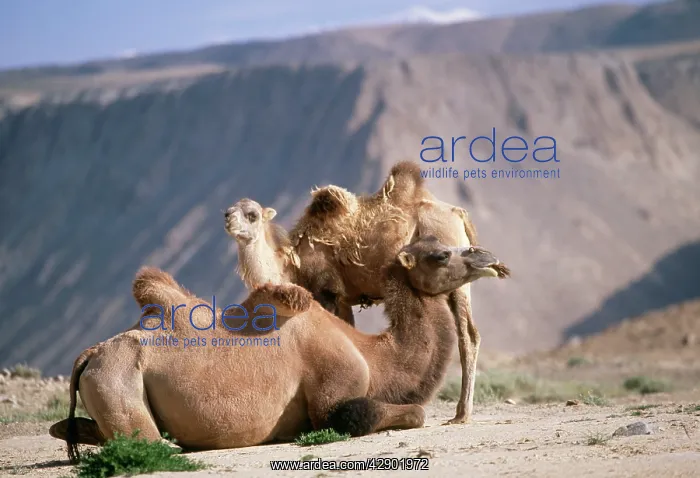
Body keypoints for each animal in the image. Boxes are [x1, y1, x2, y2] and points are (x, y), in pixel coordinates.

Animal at [50, 236, 509, 464]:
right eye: (441, 254)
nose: (489, 258)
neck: (374, 356)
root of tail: (88, 356)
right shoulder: (333, 397)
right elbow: (407, 413)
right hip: (118, 378)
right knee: (151, 444)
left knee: (65, 428)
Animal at [224, 160, 492, 424]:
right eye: (231, 209)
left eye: (252, 215)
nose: (227, 218)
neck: (293, 265)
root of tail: (459, 215)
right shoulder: (343, 299)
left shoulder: (327, 289)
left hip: (458, 281)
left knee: (468, 336)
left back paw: (461, 414)